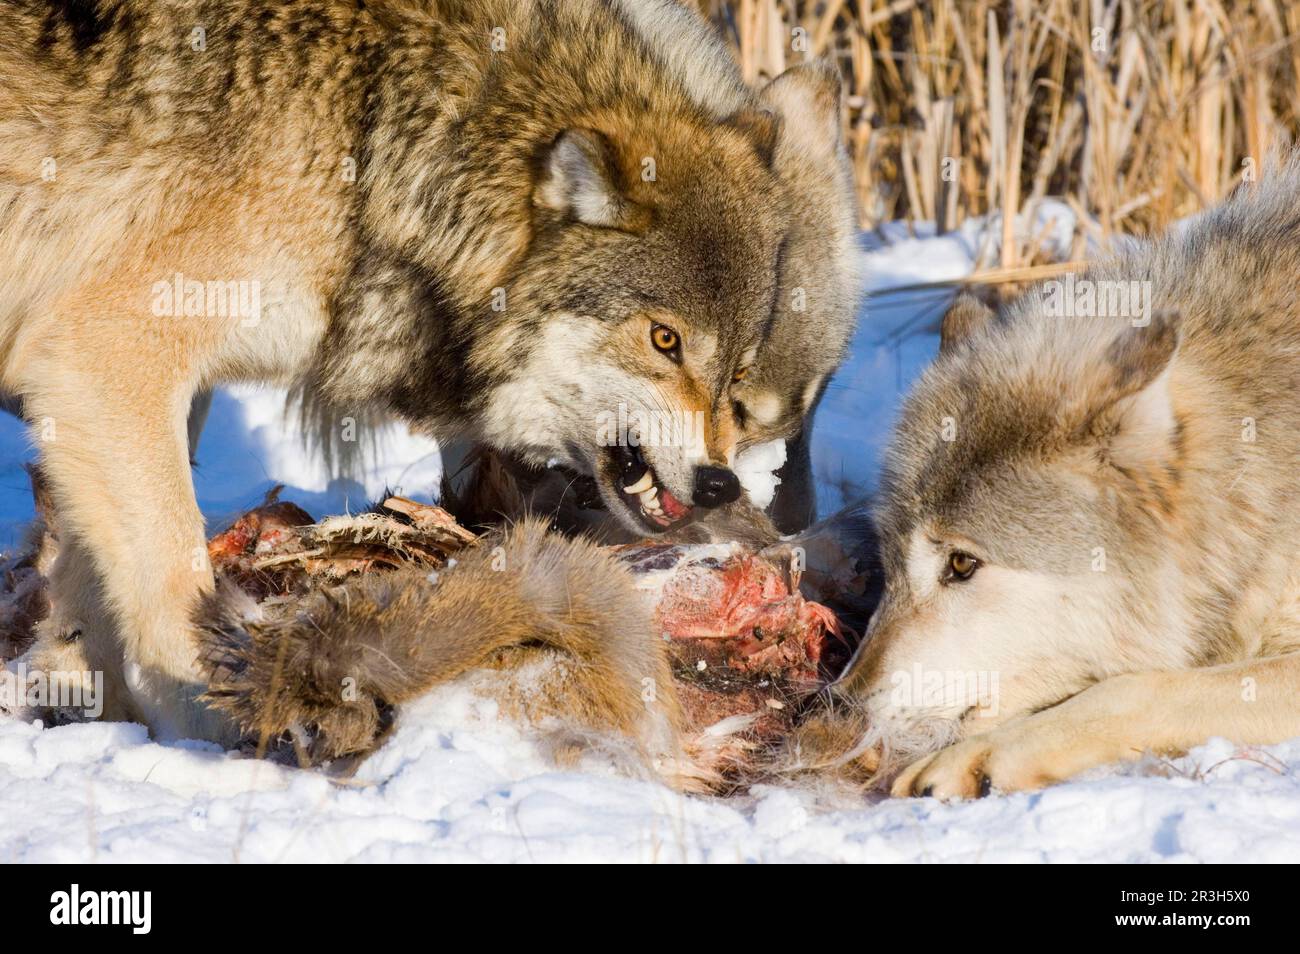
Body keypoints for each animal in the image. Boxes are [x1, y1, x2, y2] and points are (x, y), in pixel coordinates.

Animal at [0, 0, 852, 743]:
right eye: (664, 338)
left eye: (734, 368)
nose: (718, 485)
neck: (378, 134)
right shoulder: (106, 352)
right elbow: (170, 577)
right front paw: (216, 730)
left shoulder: (138, 385)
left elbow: (86, 570)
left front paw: (89, 691)